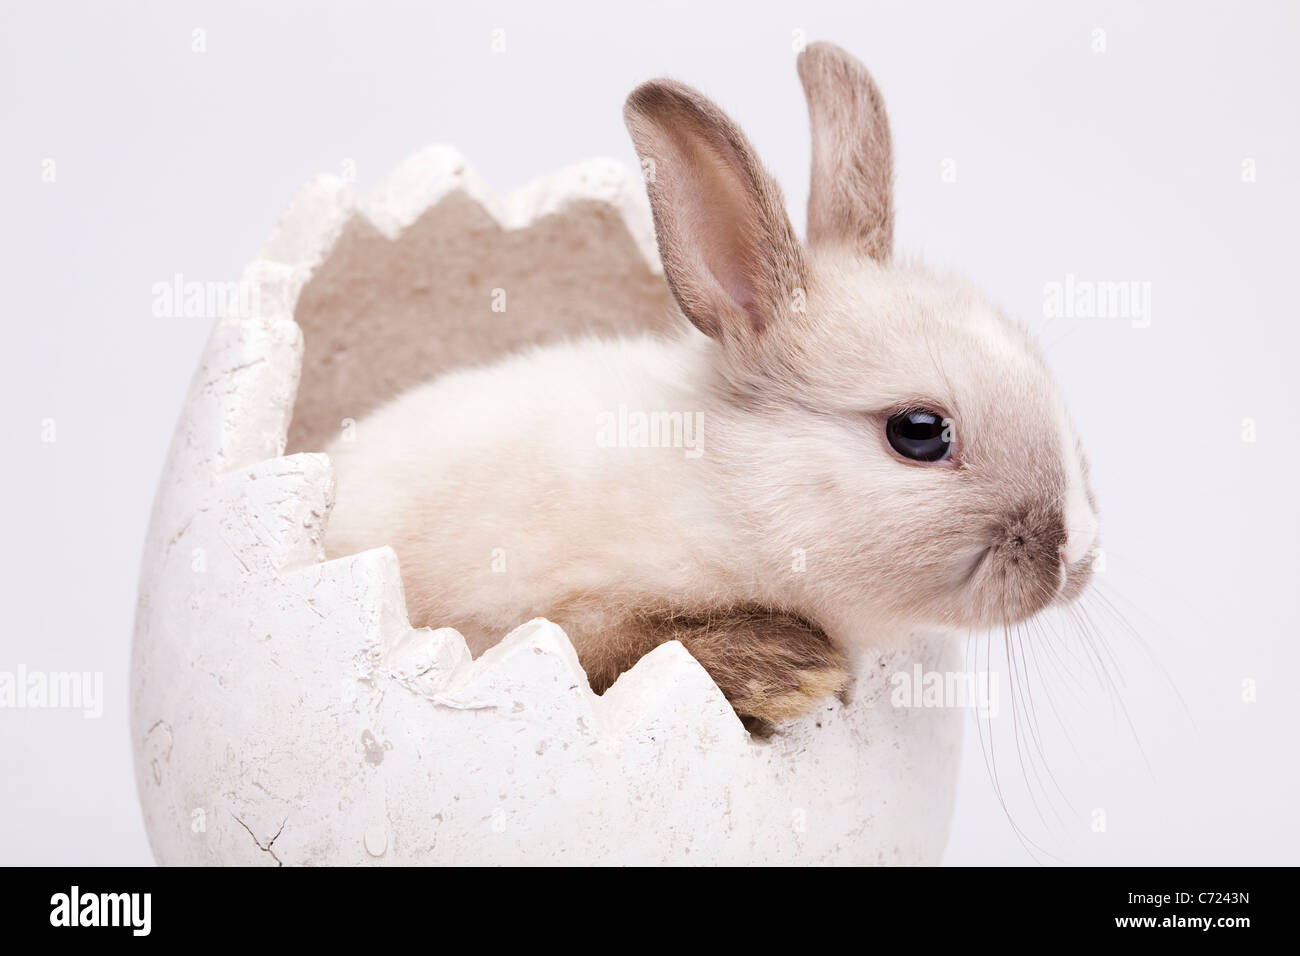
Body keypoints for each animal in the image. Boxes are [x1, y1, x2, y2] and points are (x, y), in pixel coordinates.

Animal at [322, 39, 1097, 723]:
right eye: (920, 433)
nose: (1078, 556)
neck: (728, 494)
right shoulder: (538, 610)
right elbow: (614, 642)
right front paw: (792, 671)